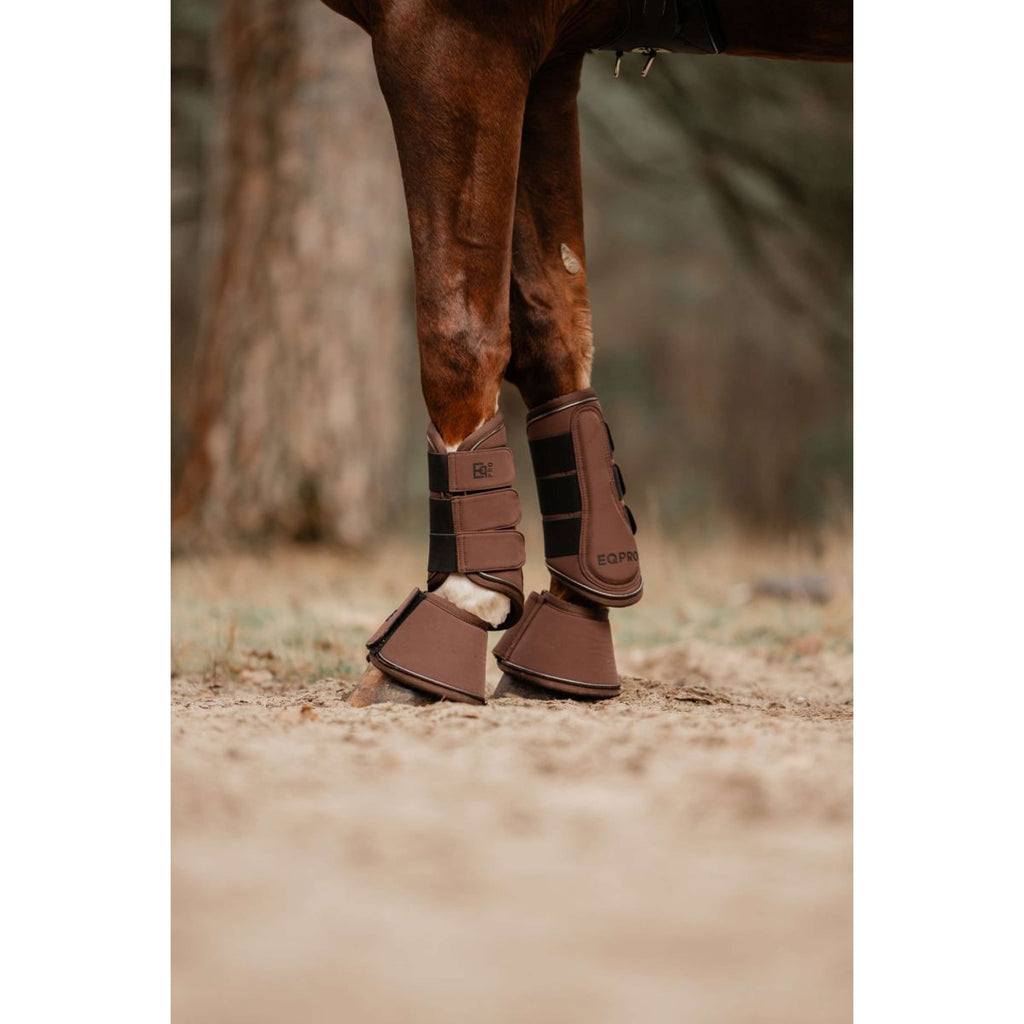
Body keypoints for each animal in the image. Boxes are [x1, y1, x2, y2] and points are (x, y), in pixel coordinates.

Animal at [320, 0, 853, 705]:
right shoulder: (550, 59)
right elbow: (555, 329)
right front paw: (569, 635)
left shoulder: (450, 33)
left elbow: (461, 331)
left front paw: (448, 623)